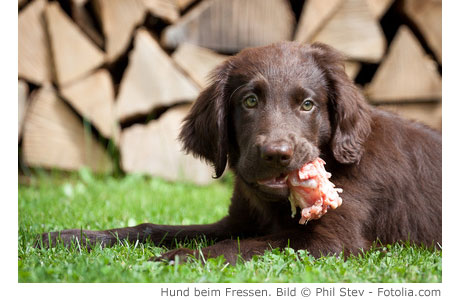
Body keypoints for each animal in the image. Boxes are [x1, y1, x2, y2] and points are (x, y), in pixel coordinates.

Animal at [40, 42, 442, 264]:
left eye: (307, 104)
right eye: (249, 101)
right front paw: (74, 238)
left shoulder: (332, 240)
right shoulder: (235, 221)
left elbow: (241, 245)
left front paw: (179, 258)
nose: (277, 154)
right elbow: (157, 228)